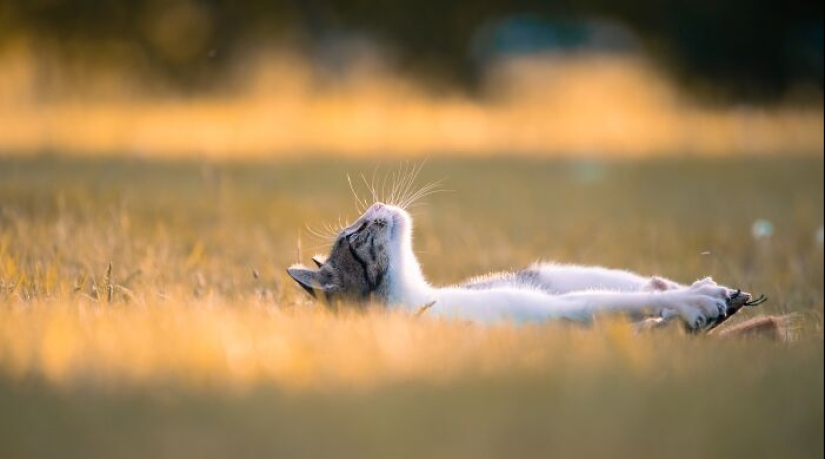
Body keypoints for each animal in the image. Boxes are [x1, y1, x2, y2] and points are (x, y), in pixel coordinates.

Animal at [284, 199, 768, 332]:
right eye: (353, 237)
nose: (376, 206)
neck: (421, 295)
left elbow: (621, 297)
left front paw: (694, 297)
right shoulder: (557, 311)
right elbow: (606, 305)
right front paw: (692, 305)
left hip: (552, 271)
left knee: (637, 282)